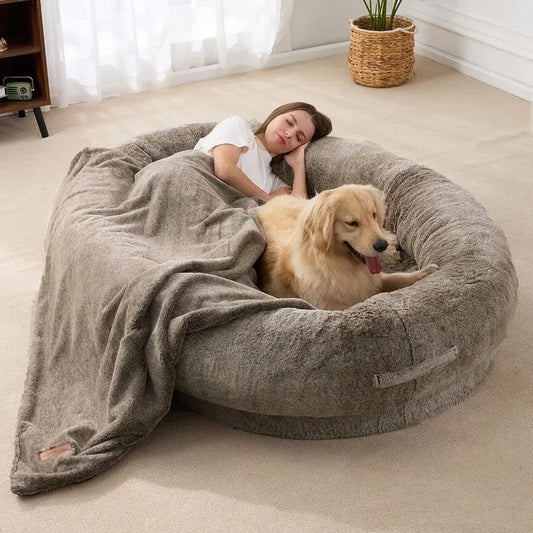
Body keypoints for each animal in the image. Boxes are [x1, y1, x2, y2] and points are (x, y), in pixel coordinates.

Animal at [256, 184, 438, 310]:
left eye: (373, 215)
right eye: (352, 223)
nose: (382, 246)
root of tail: (271, 201)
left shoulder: (373, 279)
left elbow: (397, 277)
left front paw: (425, 272)